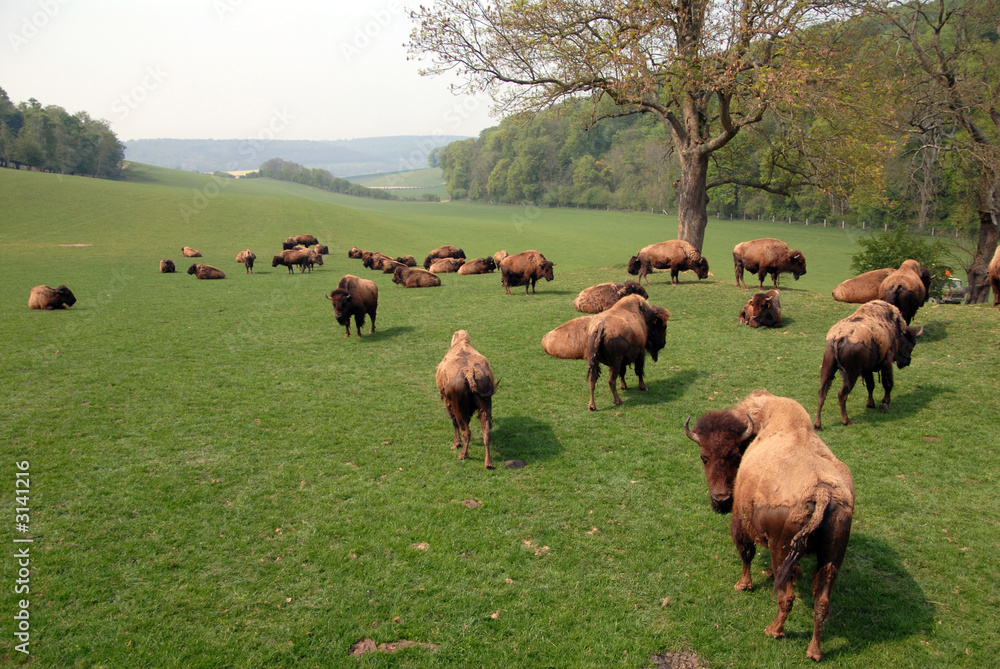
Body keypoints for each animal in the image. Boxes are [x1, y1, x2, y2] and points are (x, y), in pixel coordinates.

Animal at [434, 330, 496, 468]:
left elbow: (455, 423)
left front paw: (456, 444)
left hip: (459, 407)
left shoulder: (450, 403)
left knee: (466, 431)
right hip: (485, 405)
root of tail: (470, 372)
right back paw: (488, 463)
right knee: (487, 433)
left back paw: (463, 455)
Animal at [684, 388, 856, 660]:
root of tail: (822, 492)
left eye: (735, 455)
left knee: (787, 596)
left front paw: (743, 585)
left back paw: (773, 630)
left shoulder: (741, 521)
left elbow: (746, 553)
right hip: (832, 555)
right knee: (822, 603)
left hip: (782, 547)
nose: (721, 500)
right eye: (704, 457)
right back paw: (814, 651)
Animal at [812, 298, 920, 428]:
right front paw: (884, 405)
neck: (895, 329)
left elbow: (870, 385)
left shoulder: (867, 369)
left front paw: (870, 404)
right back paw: (846, 420)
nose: (907, 362)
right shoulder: (886, 362)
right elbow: (887, 384)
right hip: (852, 375)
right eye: (911, 345)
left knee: (822, 394)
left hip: (828, 369)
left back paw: (818, 424)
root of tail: (839, 338)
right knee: (842, 395)